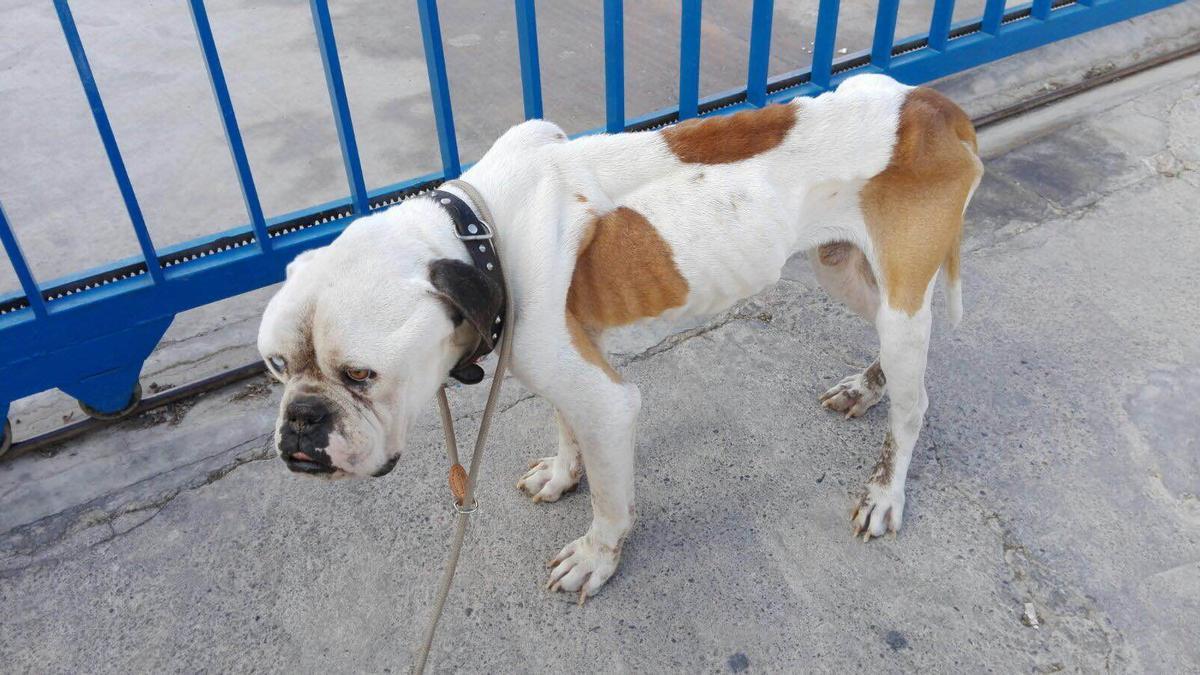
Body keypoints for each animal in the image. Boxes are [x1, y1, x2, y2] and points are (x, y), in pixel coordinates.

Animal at [258, 72, 979, 598]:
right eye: (275, 366)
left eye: (361, 374)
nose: (300, 423)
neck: (478, 236)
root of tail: (932, 105)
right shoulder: (569, 370)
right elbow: (565, 427)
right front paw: (561, 473)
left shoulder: (608, 403)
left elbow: (609, 497)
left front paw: (596, 556)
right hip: (848, 273)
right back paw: (865, 387)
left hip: (902, 304)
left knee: (915, 405)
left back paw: (885, 491)